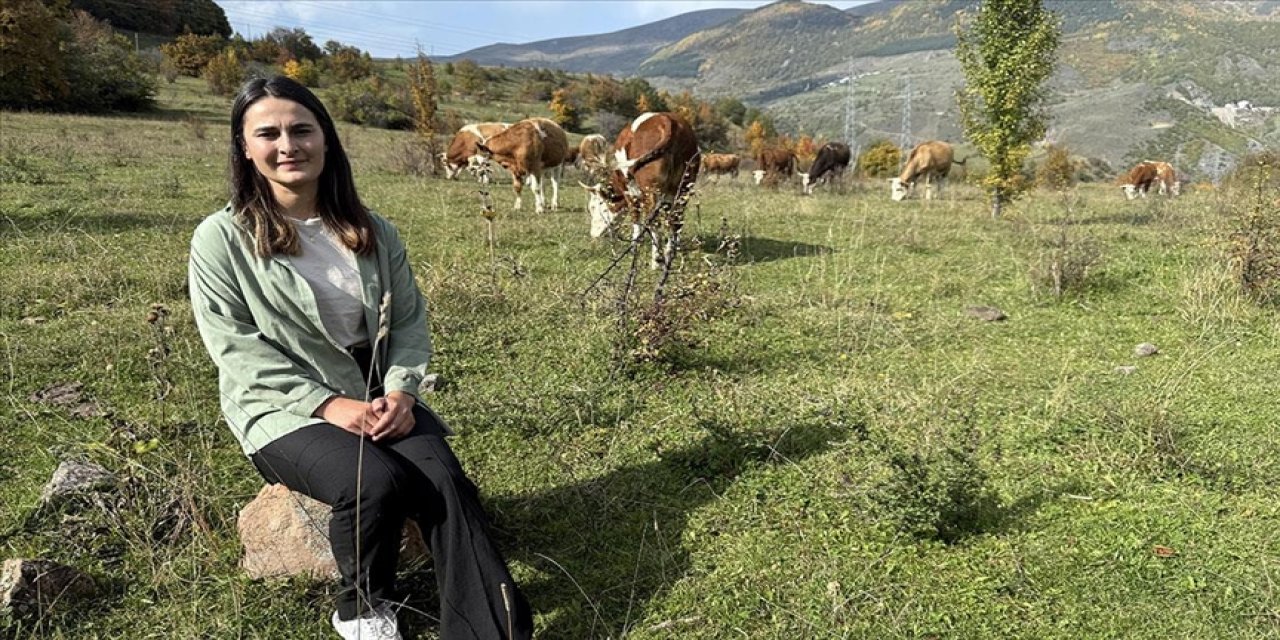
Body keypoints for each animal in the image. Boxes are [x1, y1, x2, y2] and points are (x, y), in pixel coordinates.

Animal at [581, 112, 701, 267]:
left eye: (594, 206)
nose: (593, 234)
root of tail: (667, 120)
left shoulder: (630, 193)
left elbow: (636, 218)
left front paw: (634, 247)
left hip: (651, 190)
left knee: (654, 222)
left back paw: (656, 261)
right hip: (684, 187)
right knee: (676, 220)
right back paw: (672, 256)